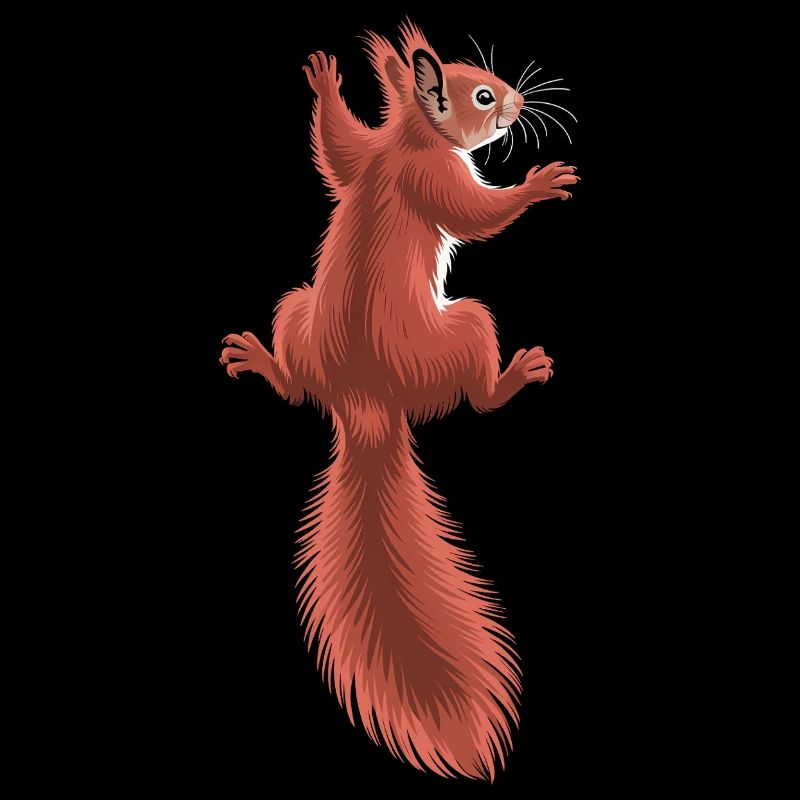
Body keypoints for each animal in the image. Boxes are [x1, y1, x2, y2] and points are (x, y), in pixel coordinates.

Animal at [220, 22, 578, 781]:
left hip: (295, 311)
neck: (410, 141)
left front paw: (336, 78)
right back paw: (516, 374)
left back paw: (259, 360)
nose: (520, 101)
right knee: (480, 394)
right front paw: (538, 184)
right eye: (482, 94)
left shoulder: (368, 158)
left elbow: (339, 152)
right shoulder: (431, 177)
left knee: (294, 386)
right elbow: (476, 215)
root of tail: (365, 404)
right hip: (466, 326)